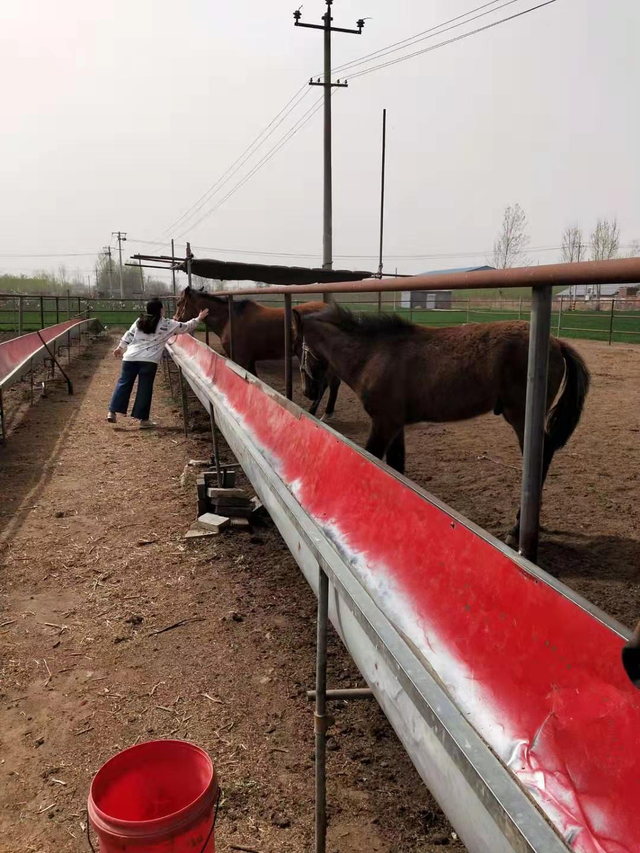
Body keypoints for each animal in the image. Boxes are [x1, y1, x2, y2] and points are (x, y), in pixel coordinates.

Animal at [170, 286, 340, 420]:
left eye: (178, 303)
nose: (175, 320)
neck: (229, 319)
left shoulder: (241, 360)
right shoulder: (249, 360)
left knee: (326, 383)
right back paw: (326, 413)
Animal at [294, 306, 592, 544]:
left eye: (300, 348)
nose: (308, 391)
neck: (374, 354)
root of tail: (557, 342)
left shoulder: (383, 423)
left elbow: (373, 461)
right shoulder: (396, 424)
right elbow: (396, 467)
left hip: (521, 418)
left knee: (541, 458)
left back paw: (518, 530)